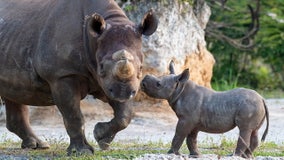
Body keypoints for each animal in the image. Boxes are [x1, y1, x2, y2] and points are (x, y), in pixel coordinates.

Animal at [0, 0, 158, 155]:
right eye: (101, 67)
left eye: (141, 68)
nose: (123, 93)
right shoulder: (62, 74)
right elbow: (74, 116)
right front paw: (82, 151)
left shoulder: (111, 83)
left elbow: (125, 114)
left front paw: (101, 137)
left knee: (14, 93)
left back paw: (37, 145)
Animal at [141, 60, 270, 158]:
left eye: (158, 84)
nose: (142, 82)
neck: (180, 89)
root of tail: (262, 99)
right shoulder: (192, 121)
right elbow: (191, 138)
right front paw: (195, 155)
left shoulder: (186, 119)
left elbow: (179, 134)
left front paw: (171, 153)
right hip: (256, 106)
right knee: (254, 131)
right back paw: (246, 156)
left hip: (249, 106)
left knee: (245, 129)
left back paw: (234, 156)